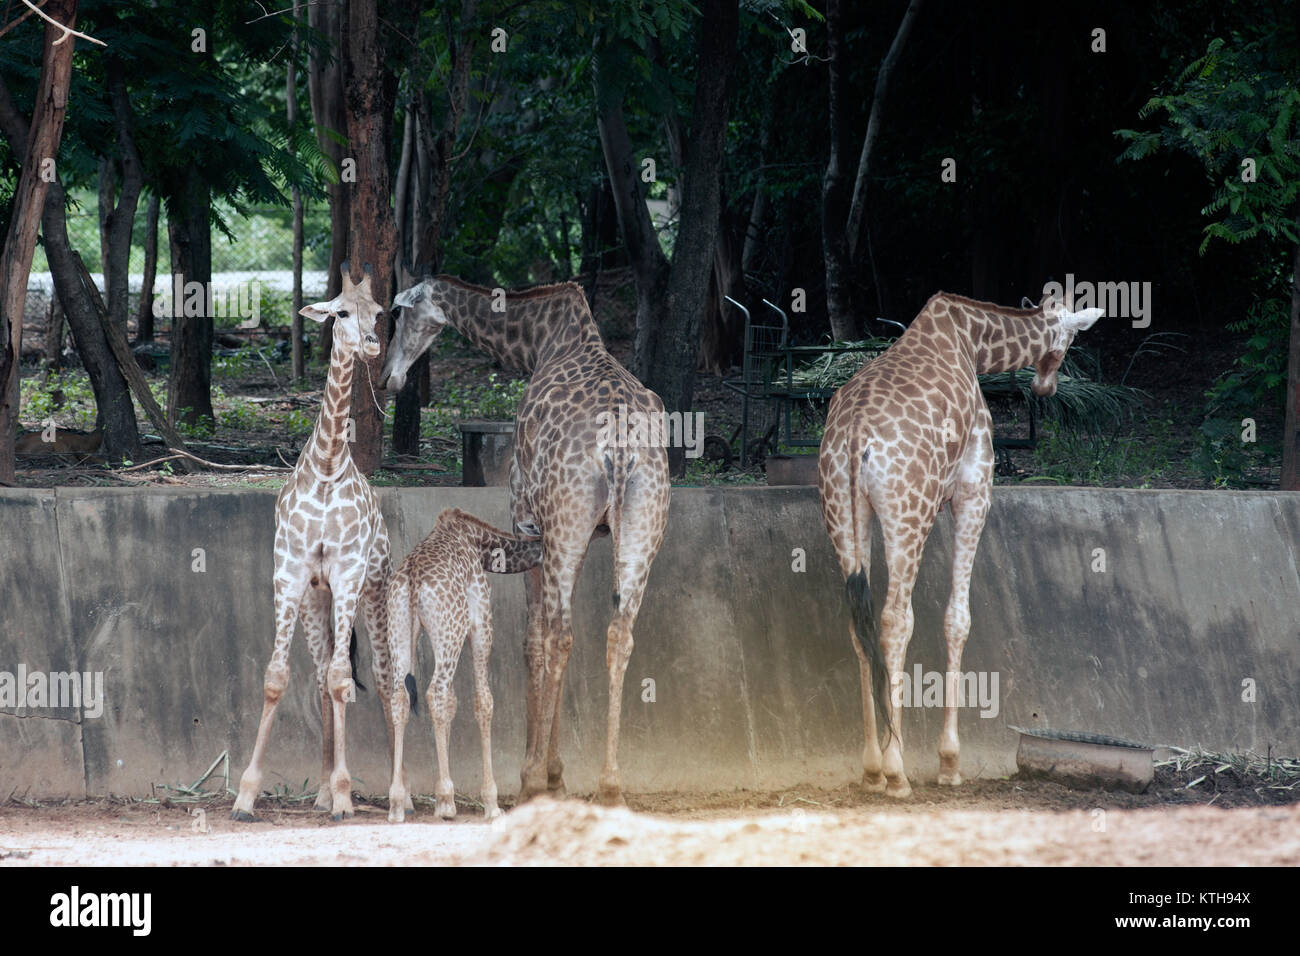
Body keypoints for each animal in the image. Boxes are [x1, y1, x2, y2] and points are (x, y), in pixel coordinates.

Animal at [231, 261, 397, 822]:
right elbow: (278, 677)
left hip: (375, 589)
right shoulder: (291, 572)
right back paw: (322, 791)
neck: (326, 467)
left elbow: (346, 678)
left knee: (385, 680)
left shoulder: (346, 573)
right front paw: (245, 794)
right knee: (324, 674)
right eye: (340, 313)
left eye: (379, 313)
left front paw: (346, 795)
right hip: (314, 600)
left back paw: (403, 795)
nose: (371, 344)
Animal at [384, 504, 548, 827]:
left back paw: (397, 804)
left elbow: (453, 703)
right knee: (435, 693)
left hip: (400, 630)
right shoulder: (480, 622)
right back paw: (446, 801)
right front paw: (489, 803)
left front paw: (440, 797)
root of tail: (412, 578)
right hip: (451, 630)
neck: (477, 541)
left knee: (401, 697)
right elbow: (482, 701)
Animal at [816, 291, 1102, 801]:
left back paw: (871, 769)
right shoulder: (974, 488)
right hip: (909, 512)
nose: (1045, 387)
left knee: (858, 621)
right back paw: (896, 770)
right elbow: (957, 619)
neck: (972, 340)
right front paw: (950, 761)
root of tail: (853, 438)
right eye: (1071, 338)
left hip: (843, 512)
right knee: (894, 619)